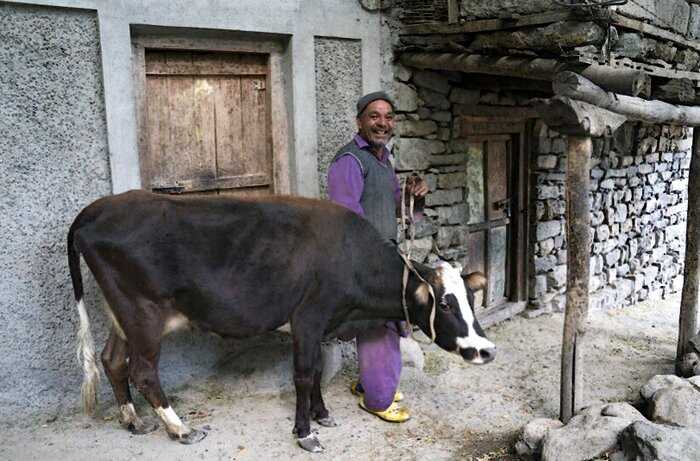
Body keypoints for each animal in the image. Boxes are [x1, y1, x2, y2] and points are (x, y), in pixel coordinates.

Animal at [64, 189, 492, 452]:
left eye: (471, 300)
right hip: (144, 314)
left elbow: (317, 371)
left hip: (122, 313)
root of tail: (96, 208)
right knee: (143, 371)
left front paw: (322, 415)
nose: (485, 350)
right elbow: (302, 375)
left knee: (112, 360)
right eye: (447, 305)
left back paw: (133, 421)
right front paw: (305, 433)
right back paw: (180, 427)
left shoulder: (322, 325)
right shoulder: (307, 318)